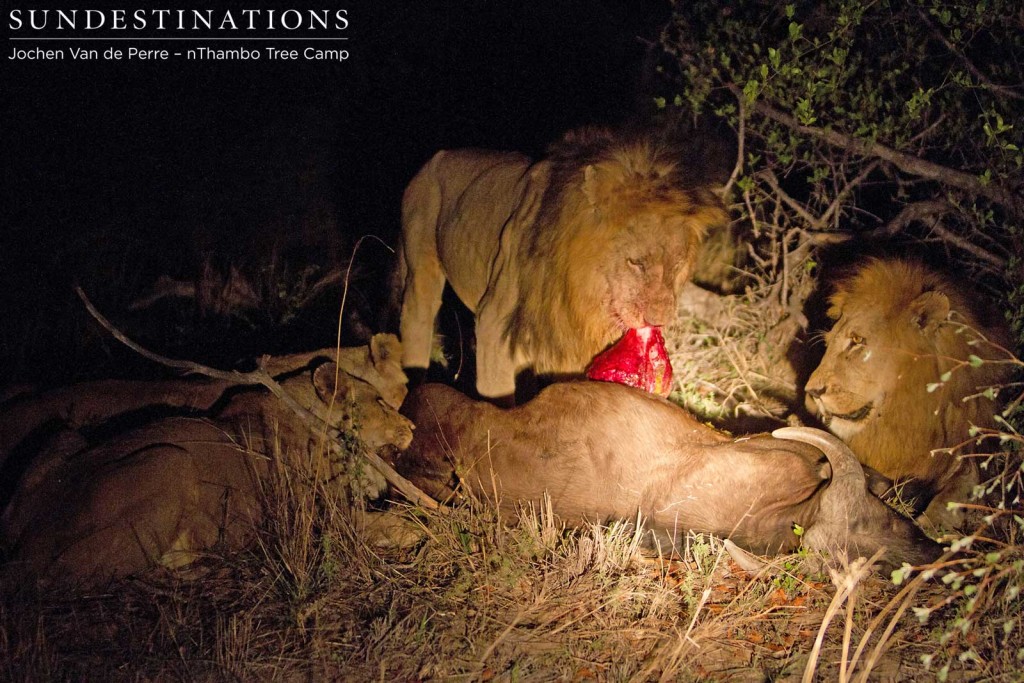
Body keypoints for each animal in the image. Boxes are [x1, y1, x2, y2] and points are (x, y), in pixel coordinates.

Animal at [3, 333, 415, 585]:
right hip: (172, 461)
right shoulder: (325, 520)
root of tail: (22, 544)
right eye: (381, 403)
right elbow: (396, 523)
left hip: (64, 436)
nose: (412, 426)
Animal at [393, 127, 729, 401]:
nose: (659, 320)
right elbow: (497, 399)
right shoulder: (493, 324)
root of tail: (436, 156)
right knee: (417, 317)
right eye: (635, 262)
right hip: (422, 261)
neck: (580, 292)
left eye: (677, 264)